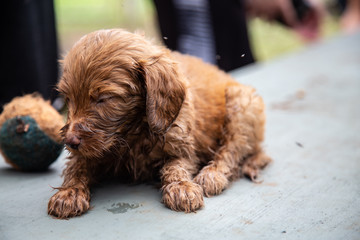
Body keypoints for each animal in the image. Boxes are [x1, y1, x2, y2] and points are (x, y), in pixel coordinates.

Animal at [47, 29, 270, 218]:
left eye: (104, 99)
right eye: (68, 99)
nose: (70, 141)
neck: (132, 133)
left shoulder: (182, 145)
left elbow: (175, 165)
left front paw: (181, 187)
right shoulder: (90, 151)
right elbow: (77, 166)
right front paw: (68, 192)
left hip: (241, 103)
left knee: (232, 149)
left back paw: (212, 174)